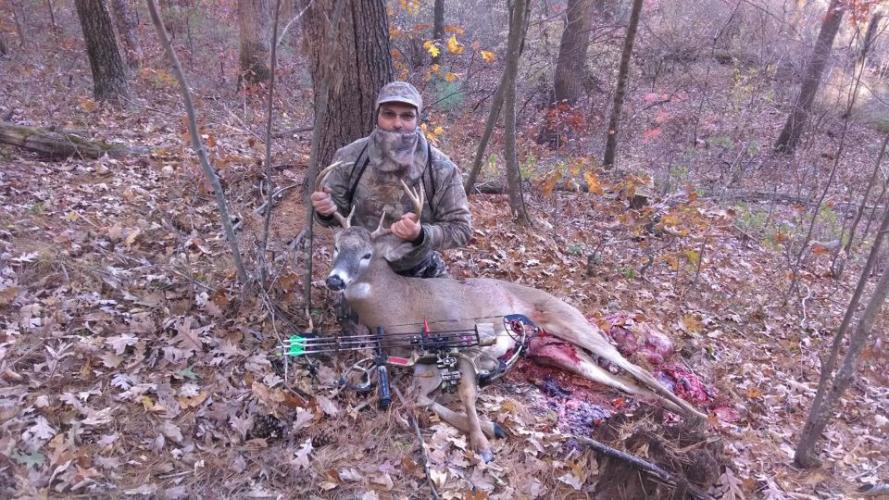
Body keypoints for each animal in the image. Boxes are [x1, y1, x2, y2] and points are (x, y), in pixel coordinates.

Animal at [316, 164, 707, 462]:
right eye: (334, 247)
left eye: (367, 255)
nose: (334, 279)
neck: (403, 308)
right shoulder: (422, 361)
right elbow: (419, 400)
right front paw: (492, 428)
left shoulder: (464, 336)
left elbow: (466, 393)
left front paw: (483, 443)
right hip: (561, 354)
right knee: (626, 383)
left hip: (572, 322)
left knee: (638, 369)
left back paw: (699, 417)